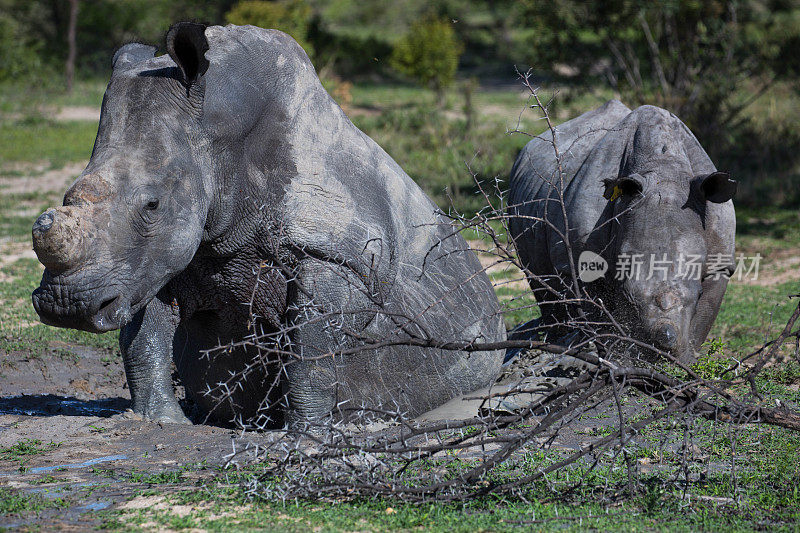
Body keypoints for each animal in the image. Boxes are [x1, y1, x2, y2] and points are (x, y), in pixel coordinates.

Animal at [34, 23, 506, 424]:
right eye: (67, 196)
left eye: (152, 205)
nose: (66, 305)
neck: (219, 137)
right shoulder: (145, 261)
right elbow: (142, 332)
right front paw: (160, 423)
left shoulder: (334, 256)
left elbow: (310, 349)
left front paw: (305, 435)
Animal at [512, 101, 736, 362]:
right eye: (627, 296)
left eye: (699, 294)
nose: (662, 346)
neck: (663, 169)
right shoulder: (578, 261)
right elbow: (595, 313)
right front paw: (613, 355)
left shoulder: (720, 262)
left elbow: (703, 319)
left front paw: (685, 362)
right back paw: (555, 338)